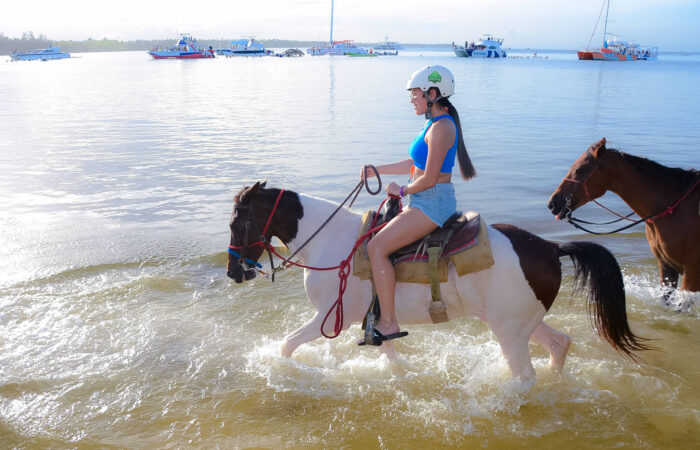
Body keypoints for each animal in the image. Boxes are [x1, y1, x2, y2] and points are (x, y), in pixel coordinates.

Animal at [227, 181, 650, 381]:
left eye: (235, 223)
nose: (234, 272)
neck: (333, 241)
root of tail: (550, 247)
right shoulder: (374, 322)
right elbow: (390, 353)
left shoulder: (330, 319)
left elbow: (286, 346)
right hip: (519, 321)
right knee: (559, 344)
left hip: (510, 330)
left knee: (524, 373)